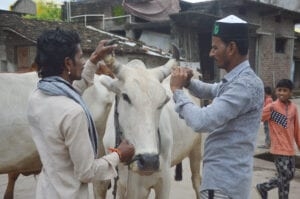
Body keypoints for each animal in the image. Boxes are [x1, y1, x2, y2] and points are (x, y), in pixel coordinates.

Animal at [101, 59, 202, 199]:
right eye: (125, 97)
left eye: (163, 101)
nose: (149, 160)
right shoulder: (122, 184)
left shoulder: (164, 181)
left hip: (197, 147)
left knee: (197, 181)